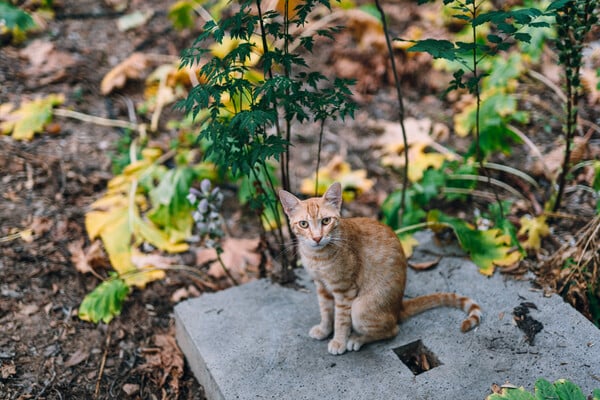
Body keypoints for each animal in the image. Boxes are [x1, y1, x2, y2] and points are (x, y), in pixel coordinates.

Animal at [278, 183, 482, 354]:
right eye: (304, 224)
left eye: (326, 221)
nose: (317, 238)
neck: (317, 256)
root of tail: (398, 307)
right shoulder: (321, 286)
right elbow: (326, 311)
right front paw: (324, 329)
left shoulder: (344, 291)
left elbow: (341, 320)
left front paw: (339, 341)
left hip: (359, 308)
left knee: (392, 330)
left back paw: (357, 339)